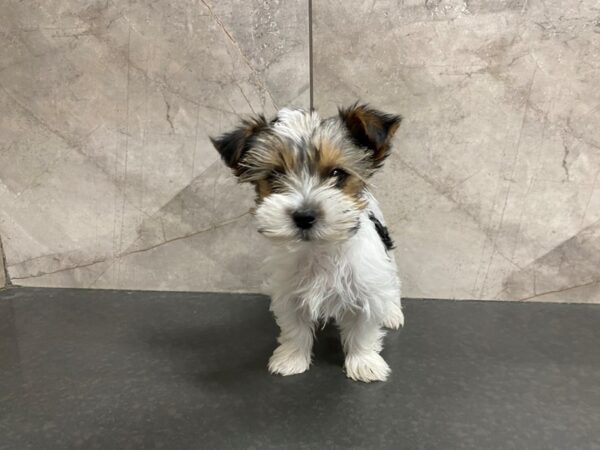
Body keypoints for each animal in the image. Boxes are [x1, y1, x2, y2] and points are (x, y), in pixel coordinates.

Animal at [211, 103, 404, 382]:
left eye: (337, 173)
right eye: (275, 175)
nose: (304, 216)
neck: (319, 248)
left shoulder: (366, 287)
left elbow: (363, 330)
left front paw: (364, 362)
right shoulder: (289, 292)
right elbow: (294, 328)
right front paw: (291, 359)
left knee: (393, 284)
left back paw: (392, 312)